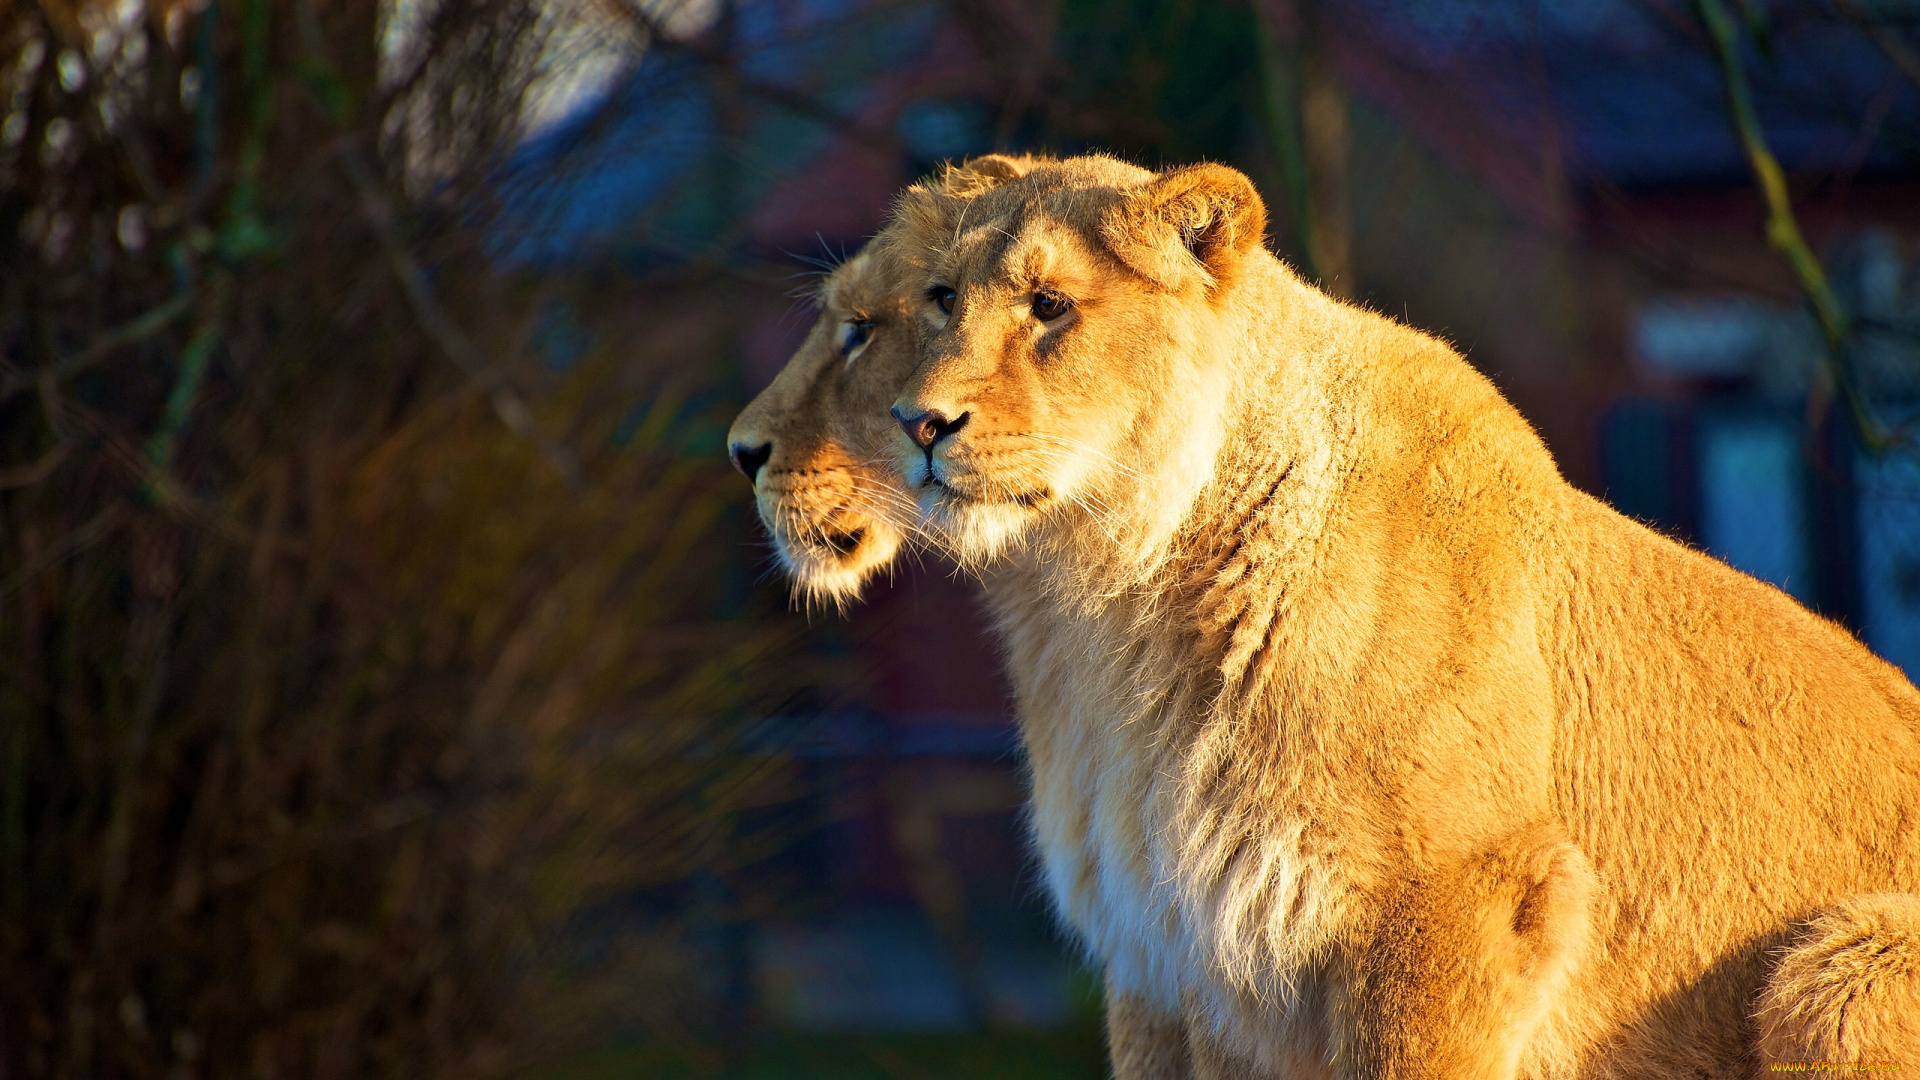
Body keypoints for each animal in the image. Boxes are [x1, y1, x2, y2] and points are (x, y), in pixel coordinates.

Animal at [871, 155, 1920, 1068]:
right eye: (942, 301)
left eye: (1049, 307)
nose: (917, 423)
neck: (1108, 604)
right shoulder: (1167, 958)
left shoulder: (1459, 902)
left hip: (1839, 967)